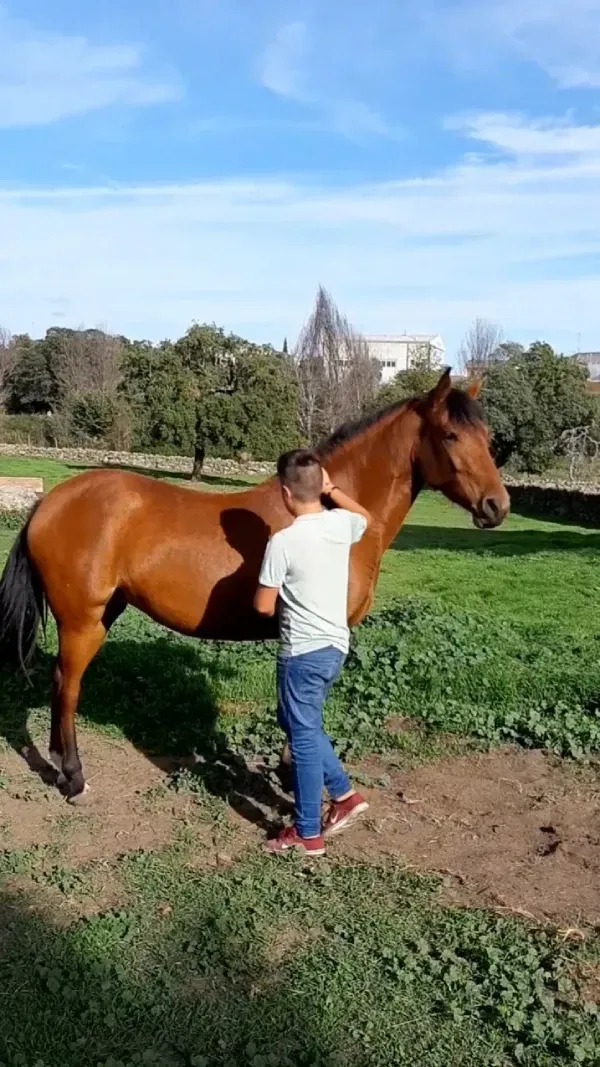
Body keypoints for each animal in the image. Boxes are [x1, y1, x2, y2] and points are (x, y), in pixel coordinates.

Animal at [0, 369, 509, 804]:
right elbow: (305, 709)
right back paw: (74, 778)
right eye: (450, 435)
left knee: (59, 682)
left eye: (487, 439)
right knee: (68, 687)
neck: (323, 517)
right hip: (81, 620)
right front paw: (297, 778)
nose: (497, 506)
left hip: (103, 613)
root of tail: (51, 501)